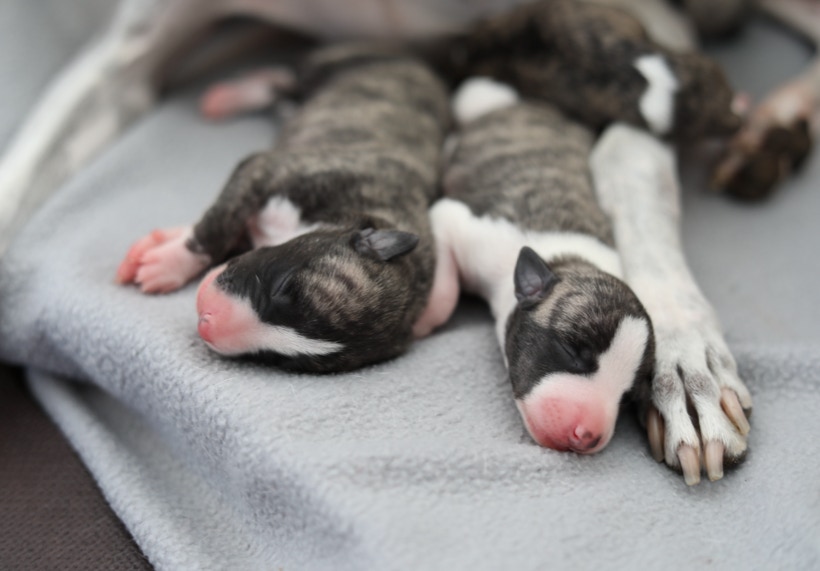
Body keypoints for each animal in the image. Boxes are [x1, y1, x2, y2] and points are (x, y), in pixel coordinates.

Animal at [116, 45, 451, 372]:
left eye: (281, 360)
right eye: (282, 286)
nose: (207, 323)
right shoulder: (266, 171)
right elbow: (217, 226)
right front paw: (169, 263)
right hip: (326, 66)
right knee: (280, 77)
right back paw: (226, 97)